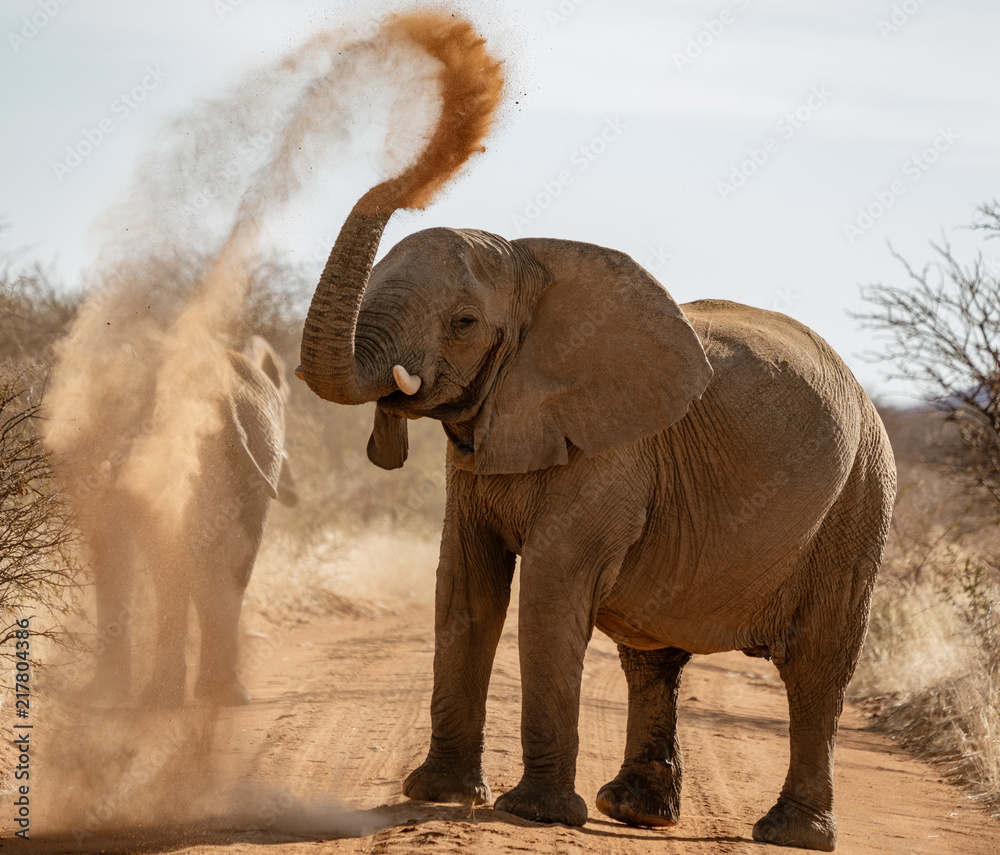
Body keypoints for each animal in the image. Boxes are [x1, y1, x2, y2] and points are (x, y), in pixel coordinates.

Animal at [85, 335, 298, 707]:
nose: (294, 494)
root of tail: (223, 397)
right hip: (258, 447)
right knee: (231, 563)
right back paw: (222, 695)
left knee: (177, 562)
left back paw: (167, 696)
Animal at [296, 195, 896, 851]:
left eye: (464, 322)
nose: (408, 190)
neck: (531, 266)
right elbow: (465, 583)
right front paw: (440, 794)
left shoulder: (612, 445)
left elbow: (551, 586)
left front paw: (534, 814)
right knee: (652, 655)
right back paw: (634, 811)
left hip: (861, 496)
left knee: (817, 664)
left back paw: (790, 833)